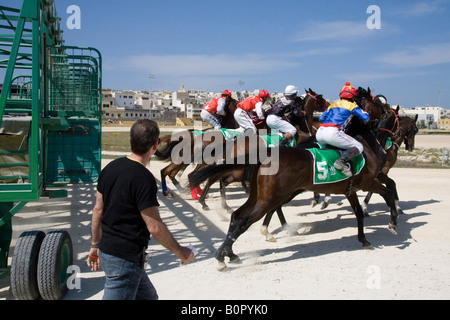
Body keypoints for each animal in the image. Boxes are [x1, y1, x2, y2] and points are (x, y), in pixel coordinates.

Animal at [188, 107, 400, 270]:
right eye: (399, 121)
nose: (390, 147)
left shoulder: (351, 189)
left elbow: (359, 213)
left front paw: (364, 239)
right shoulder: (368, 182)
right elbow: (388, 193)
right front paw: (393, 223)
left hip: (262, 196)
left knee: (236, 215)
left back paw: (230, 253)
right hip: (269, 197)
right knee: (242, 218)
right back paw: (222, 256)